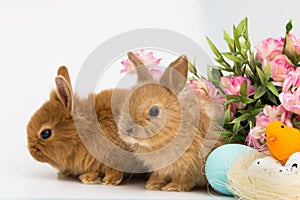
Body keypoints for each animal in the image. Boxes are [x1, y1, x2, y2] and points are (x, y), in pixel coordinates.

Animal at [117, 52, 225, 191]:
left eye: (154, 111)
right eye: (127, 102)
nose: (128, 129)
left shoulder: (189, 163)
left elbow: (185, 179)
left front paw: (173, 187)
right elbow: (160, 175)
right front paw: (153, 185)